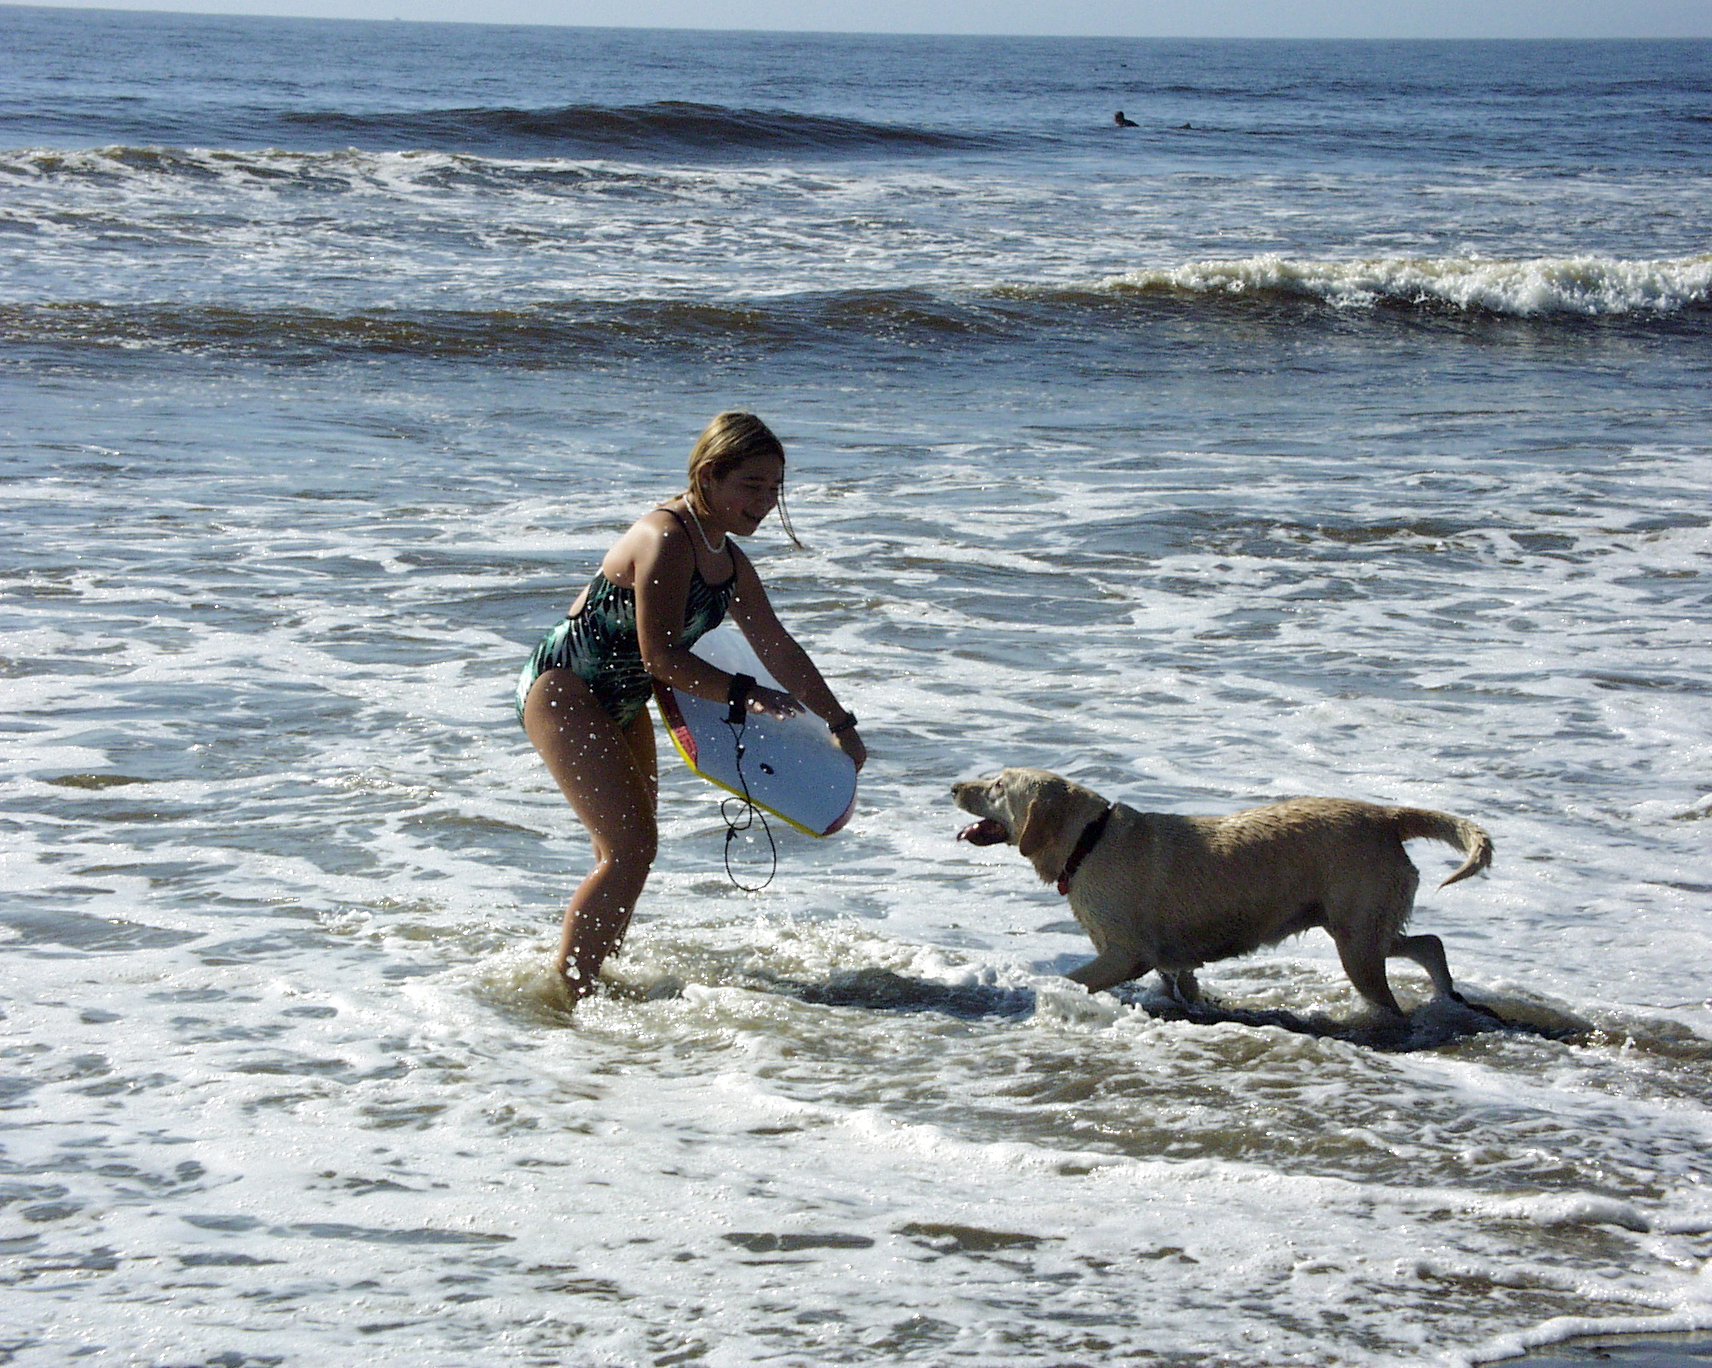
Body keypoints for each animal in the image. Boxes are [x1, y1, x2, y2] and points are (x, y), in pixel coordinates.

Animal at [953, 768, 1494, 1018]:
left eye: (998, 786)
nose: (954, 785)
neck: (1089, 840)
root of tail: (1385, 815)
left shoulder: (1126, 955)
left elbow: (1069, 979)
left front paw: (1040, 994)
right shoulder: (1170, 961)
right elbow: (1184, 986)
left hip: (1356, 939)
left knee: (1393, 987)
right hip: (1364, 927)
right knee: (1428, 944)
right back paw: (1449, 998)